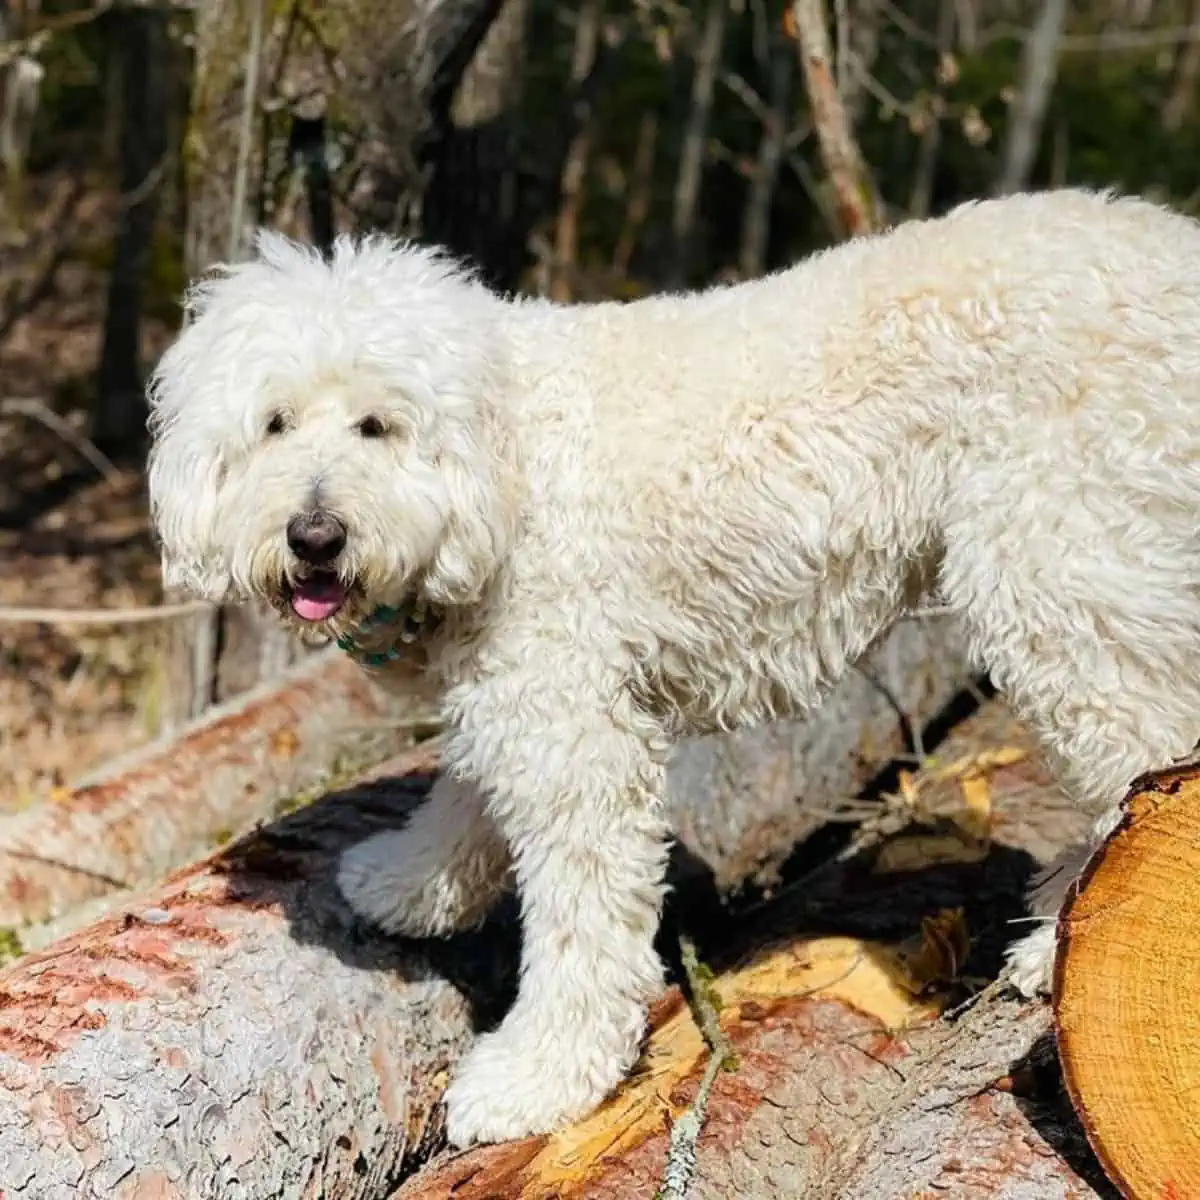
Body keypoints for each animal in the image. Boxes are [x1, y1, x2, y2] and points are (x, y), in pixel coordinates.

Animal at [145, 187, 1200, 1142]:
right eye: (276, 424)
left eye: (377, 426)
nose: (315, 536)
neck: (505, 457)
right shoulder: (520, 699)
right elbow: (463, 801)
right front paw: (407, 883)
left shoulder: (572, 731)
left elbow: (580, 926)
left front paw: (537, 1081)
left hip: (1059, 579)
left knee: (1145, 757)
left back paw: (1055, 948)